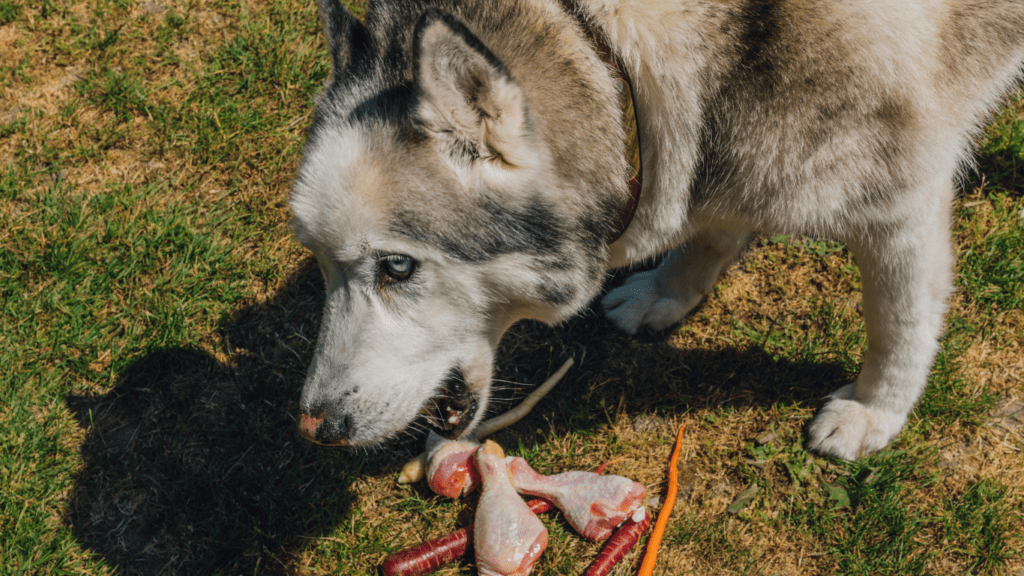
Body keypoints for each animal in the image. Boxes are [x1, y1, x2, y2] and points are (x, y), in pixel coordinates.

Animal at [288, 0, 1024, 457]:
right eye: (320, 263)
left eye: (398, 267)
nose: (313, 427)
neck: (612, 48)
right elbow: (713, 228)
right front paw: (669, 292)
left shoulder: (904, 205)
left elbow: (898, 325)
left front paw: (875, 413)